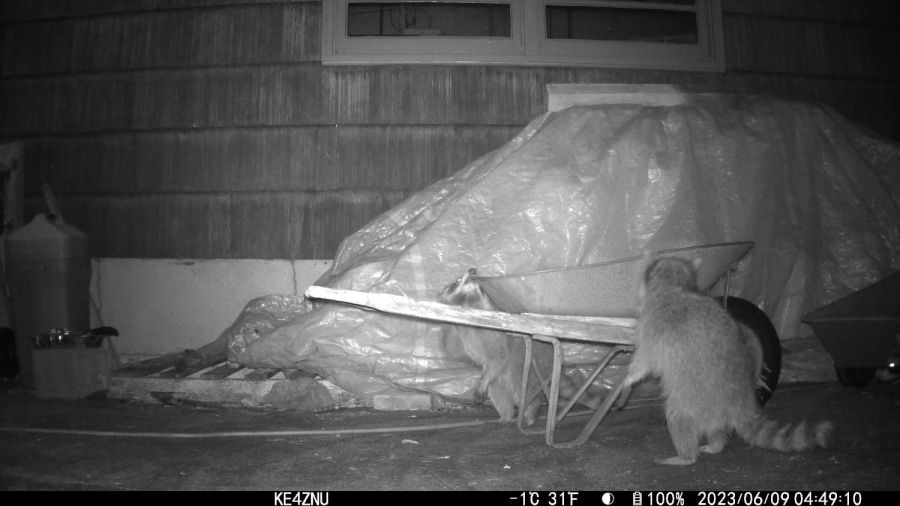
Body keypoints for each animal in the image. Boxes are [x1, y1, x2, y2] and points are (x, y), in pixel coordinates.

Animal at [438, 269, 599, 425]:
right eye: (457, 280)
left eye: (482, 289)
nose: (472, 270)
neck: (469, 303)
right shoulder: (463, 334)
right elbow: (454, 351)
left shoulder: (494, 328)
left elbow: (499, 356)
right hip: (501, 378)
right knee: (498, 393)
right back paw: (506, 416)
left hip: (528, 365)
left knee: (523, 390)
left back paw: (530, 414)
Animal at [622, 255, 833, 465]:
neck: (672, 287)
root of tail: (740, 400)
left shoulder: (651, 325)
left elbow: (644, 361)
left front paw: (629, 377)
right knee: (716, 428)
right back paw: (716, 444)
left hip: (694, 400)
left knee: (678, 416)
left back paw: (686, 456)